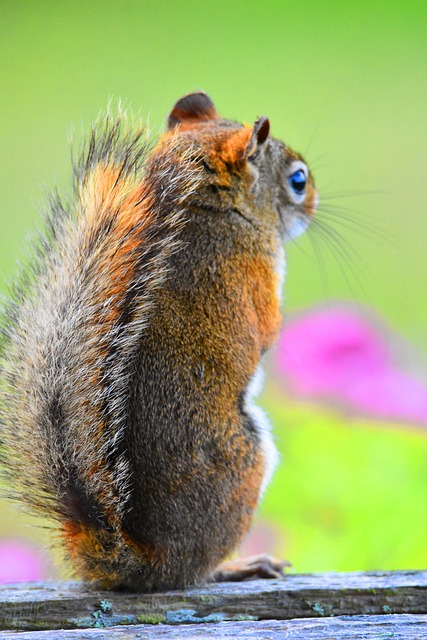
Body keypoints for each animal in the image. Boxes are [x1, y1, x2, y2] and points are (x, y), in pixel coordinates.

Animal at [0, 92, 318, 592]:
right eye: (298, 180)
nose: (315, 205)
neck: (210, 211)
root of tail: (142, 559)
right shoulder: (256, 279)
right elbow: (266, 329)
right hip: (245, 466)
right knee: (192, 573)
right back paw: (235, 566)